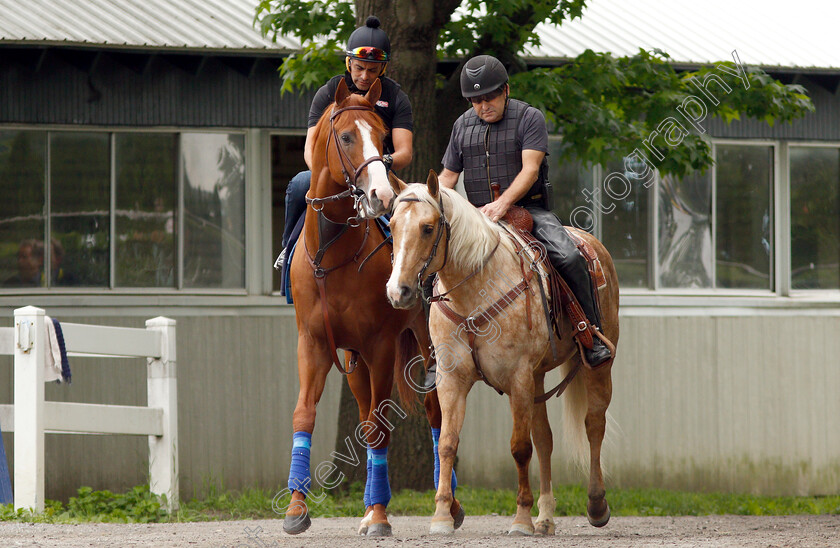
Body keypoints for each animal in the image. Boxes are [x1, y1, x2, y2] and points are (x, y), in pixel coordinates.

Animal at [286, 80, 462, 536]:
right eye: (346, 136)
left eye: (383, 138)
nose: (380, 194)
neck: (333, 256)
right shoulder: (314, 343)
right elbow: (305, 415)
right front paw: (296, 509)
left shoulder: (381, 346)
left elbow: (380, 430)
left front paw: (381, 515)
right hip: (354, 361)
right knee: (367, 414)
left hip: (423, 343)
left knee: (435, 414)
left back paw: (450, 504)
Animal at [386, 172, 616, 536]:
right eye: (392, 225)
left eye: (427, 227)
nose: (398, 291)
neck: (474, 292)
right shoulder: (452, 381)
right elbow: (448, 442)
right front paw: (442, 516)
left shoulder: (517, 378)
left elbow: (519, 448)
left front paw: (521, 518)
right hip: (538, 378)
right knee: (545, 439)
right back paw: (546, 518)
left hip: (596, 366)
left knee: (593, 424)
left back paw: (596, 505)